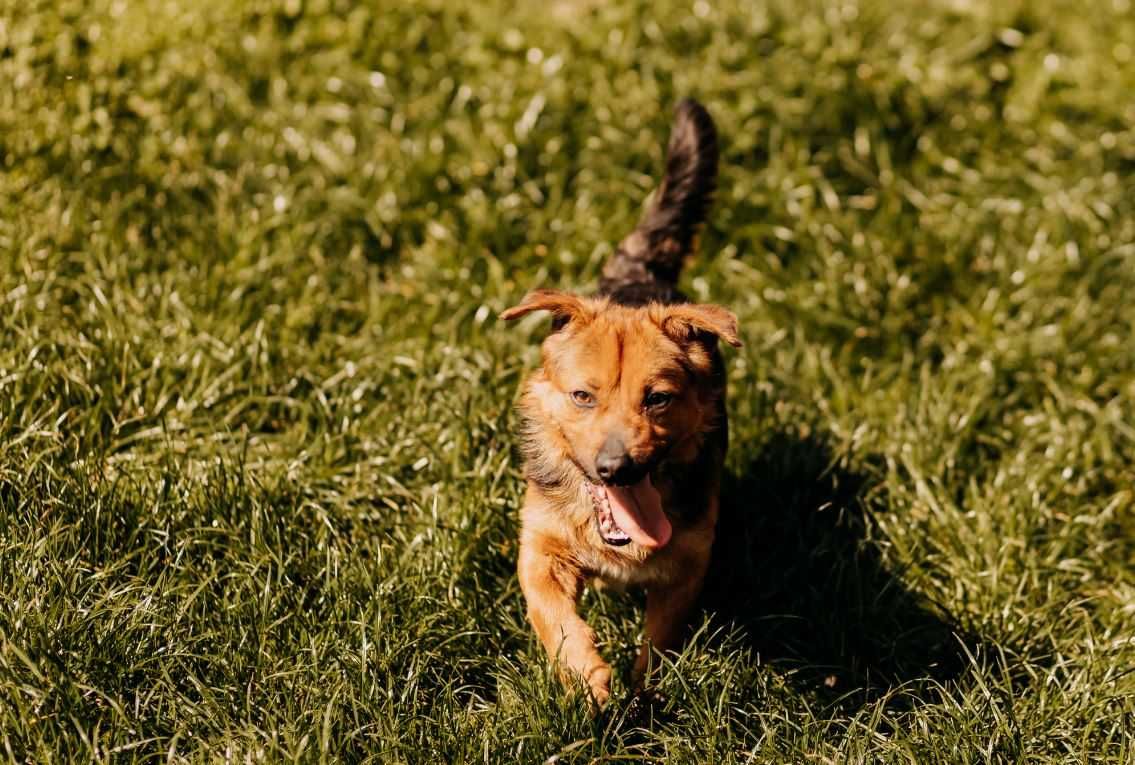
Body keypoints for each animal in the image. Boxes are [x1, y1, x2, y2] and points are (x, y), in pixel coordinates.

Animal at [499, 99, 735, 703]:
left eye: (659, 399)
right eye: (582, 396)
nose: (617, 468)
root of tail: (640, 275)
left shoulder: (688, 562)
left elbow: (661, 638)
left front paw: (645, 691)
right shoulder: (540, 544)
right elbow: (550, 611)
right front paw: (587, 674)